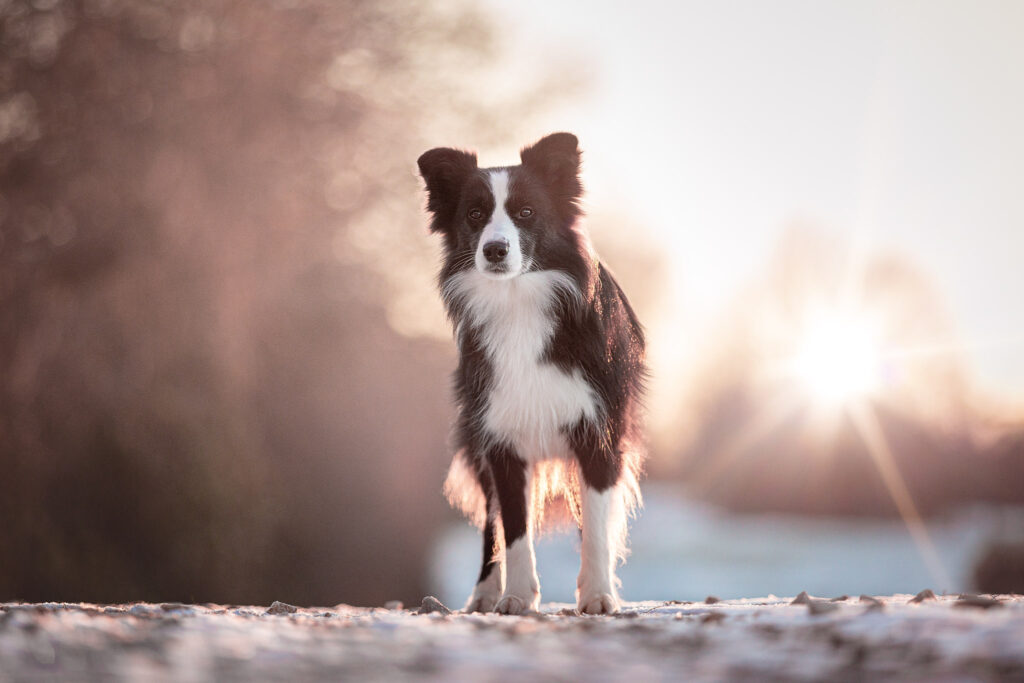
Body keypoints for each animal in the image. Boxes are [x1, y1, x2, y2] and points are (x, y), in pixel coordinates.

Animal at [417, 132, 647, 614]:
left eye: (525, 212)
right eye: (474, 214)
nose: (495, 249)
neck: (519, 301)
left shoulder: (598, 433)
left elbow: (596, 527)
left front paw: (598, 595)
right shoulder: (501, 440)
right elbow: (514, 530)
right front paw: (518, 597)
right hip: (476, 438)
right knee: (491, 524)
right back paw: (485, 593)